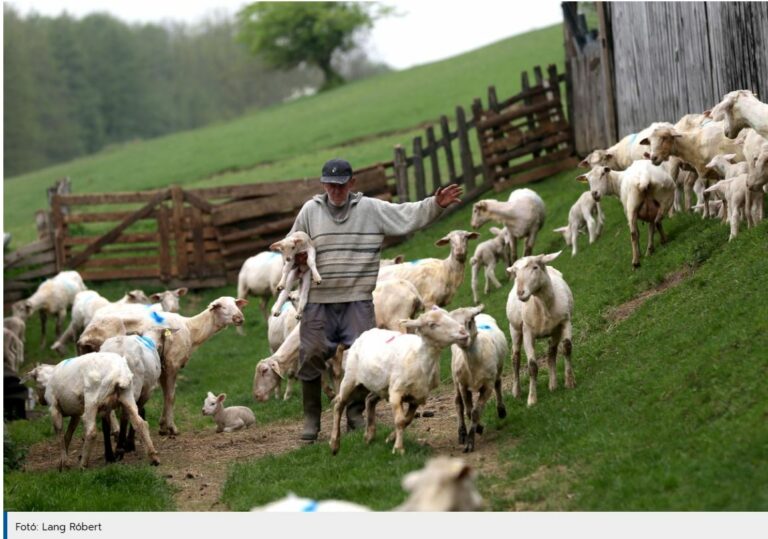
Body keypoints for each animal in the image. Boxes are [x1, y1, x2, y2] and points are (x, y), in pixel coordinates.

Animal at [77, 298, 246, 436]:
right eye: (222, 306)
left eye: (236, 304)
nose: (240, 318)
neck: (191, 330)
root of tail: (88, 336)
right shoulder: (172, 364)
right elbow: (171, 396)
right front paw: (172, 428)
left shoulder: (163, 368)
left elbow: (166, 395)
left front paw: (163, 426)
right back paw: (116, 428)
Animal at [328, 308, 468, 456]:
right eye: (432, 324)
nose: (463, 332)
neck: (420, 359)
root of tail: (365, 333)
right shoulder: (396, 393)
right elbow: (400, 421)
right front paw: (398, 448)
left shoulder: (417, 397)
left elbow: (407, 420)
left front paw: (391, 438)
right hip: (351, 378)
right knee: (339, 404)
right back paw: (334, 444)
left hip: (381, 386)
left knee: (369, 399)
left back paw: (369, 435)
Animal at [448, 306, 508, 454]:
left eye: (469, 320)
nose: (462, 338)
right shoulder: (463, 385)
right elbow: (469, 411)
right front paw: (476, 431)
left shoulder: (487, 386)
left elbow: (475, 412)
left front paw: (471, 441)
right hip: (455, 378)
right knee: (458, 403)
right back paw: (462, 432)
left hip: (499, 367)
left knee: (498, 383)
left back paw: (501, 410)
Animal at [508, 251, 572, 408]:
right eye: (516, 273)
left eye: (535, 267)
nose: (520, 293)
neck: (543, 305)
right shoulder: (527, 332)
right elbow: (532, 366)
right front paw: (532, 399)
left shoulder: (565, 321)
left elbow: (567, 348)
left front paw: (569, 382)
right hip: (514, 329)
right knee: (515, 359)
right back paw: (516, 391)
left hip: (555, 331)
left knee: (551, 352)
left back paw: (553, 384)